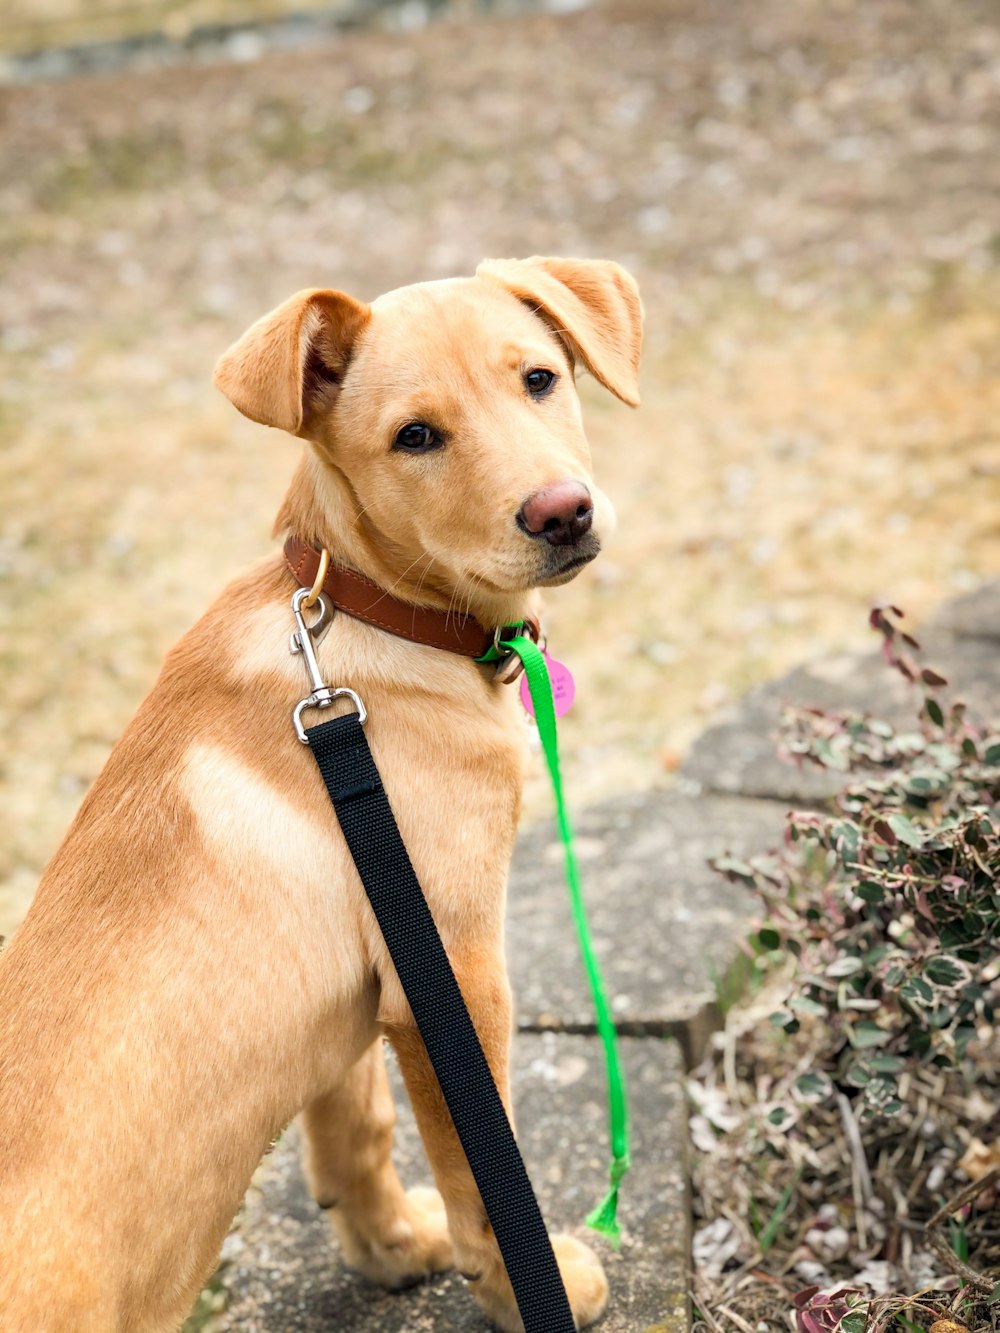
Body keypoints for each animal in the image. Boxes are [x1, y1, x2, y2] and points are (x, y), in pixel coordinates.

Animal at [0, 254, 642, 1327]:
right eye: (414, 437)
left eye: (540, 379)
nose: (564, 511)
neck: (373, 615)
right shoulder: (453, 967)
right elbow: (485, 1158)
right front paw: (525, 1282)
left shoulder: (371, 971)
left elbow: (356, 1119)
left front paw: (390, 1244)